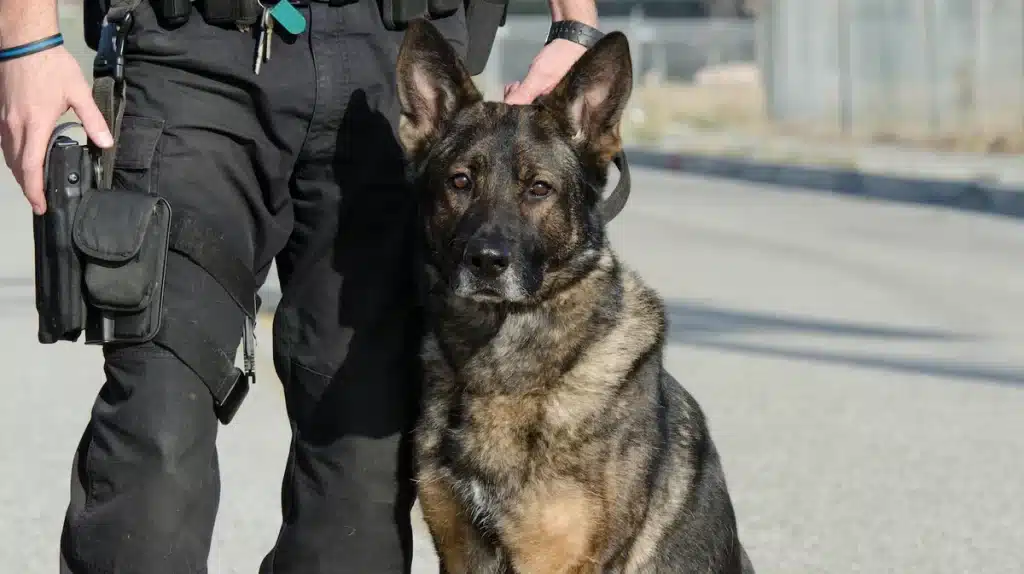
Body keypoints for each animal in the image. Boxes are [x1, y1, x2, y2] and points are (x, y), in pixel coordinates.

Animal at [395, 17, 757, 572]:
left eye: (539, 189)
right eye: (460, 182)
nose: (486, 261)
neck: (501, 366)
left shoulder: (554, 559)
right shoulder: (461, 553)